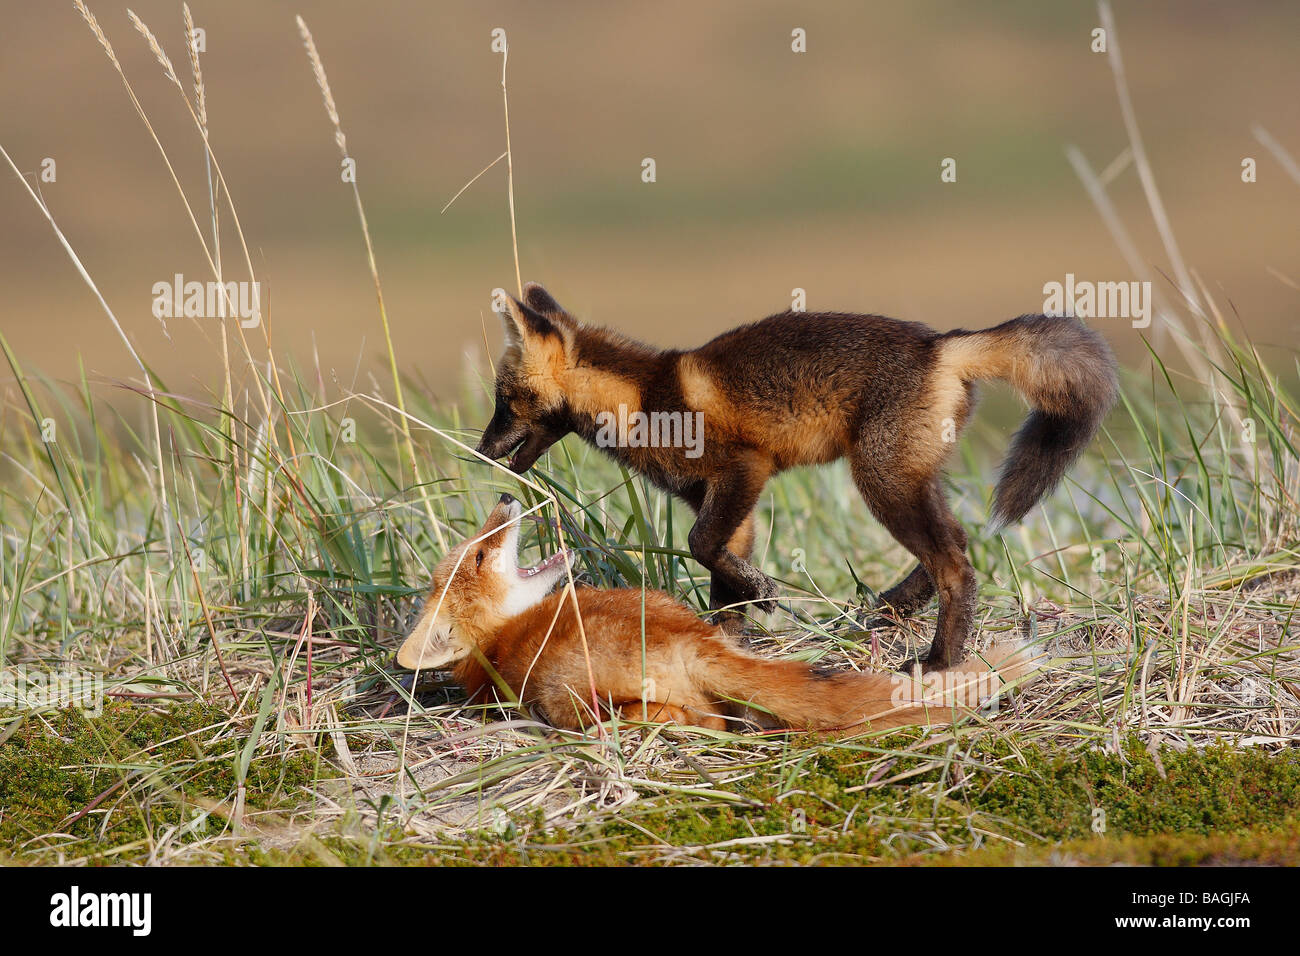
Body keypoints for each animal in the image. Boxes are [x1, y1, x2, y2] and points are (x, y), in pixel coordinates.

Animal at [395, 494, 1045, 733]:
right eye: (480, 555)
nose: (507, 496)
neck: (499, 639)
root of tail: (688, 638)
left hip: (568, 694)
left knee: (698, 720)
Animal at [478, 283, 1118, 671]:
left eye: (505, 401)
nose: (479, 450)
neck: (642, 398)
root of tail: (941, 343)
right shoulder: (720, 501)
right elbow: (721, 585)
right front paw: (728, 644)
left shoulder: (744, 470)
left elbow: (701, 546)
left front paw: (764, 593)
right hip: (910, 479)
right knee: (955, 548)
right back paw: (892, 611)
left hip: (881, 482)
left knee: (956, 563)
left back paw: (939, 660)